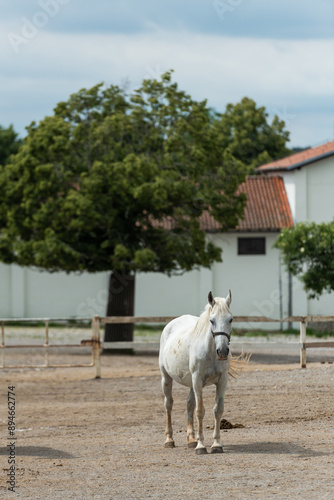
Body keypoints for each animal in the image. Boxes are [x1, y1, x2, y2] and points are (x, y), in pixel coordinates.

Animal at [160, 292, 234, 456]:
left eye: (230, 319)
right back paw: (169, 440)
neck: (211, 352)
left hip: (191, 383)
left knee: (189, 404)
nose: (223, 351)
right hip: (166, 378)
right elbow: (200, 411)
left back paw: (191, 440)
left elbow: (217, 410)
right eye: (212, 320)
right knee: (168, 404)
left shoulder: (222, 381)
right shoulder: (198, 380)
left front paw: (216, 444)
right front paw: (201, 446)